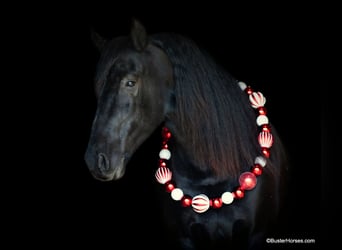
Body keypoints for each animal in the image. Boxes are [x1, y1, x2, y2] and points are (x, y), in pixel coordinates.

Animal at [84, 20, 288, 250]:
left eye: (130, 82)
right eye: (98, 86)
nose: (95, 160)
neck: (210, 172)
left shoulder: (257, 235)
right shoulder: (184, 238)